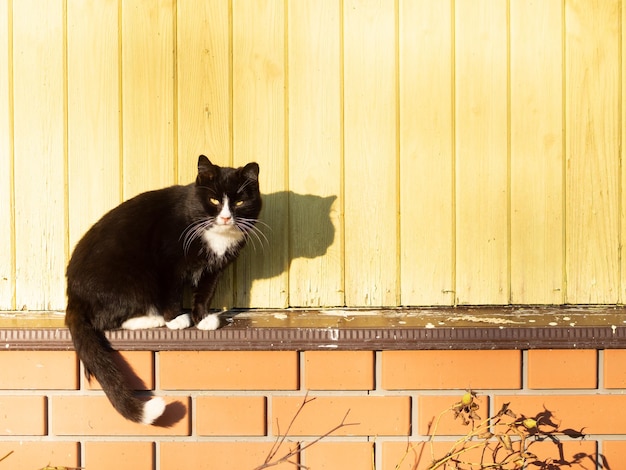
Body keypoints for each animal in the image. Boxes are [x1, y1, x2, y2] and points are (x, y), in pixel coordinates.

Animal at [67, 155, 262, 426]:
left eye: (240, 202)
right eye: (214, 200)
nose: (225, 218)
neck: (216, 236)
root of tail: (73, 295)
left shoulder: (215, 269)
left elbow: (206, 291)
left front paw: (203, 319)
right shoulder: (169, 262)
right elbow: (172, 291)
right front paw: (176, 319)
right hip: (133, 278)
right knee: (103, 320)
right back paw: (154, 318)